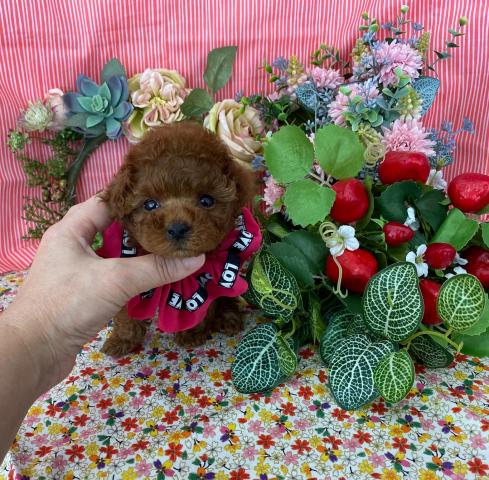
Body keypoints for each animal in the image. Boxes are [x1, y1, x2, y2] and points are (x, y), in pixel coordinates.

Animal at [99, 122, 257, 357]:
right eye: (150, 204)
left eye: (206, 201)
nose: (177, 228)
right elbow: (126, 313)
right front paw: (121, 340)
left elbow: (201, 307)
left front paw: (190, 334)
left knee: (226, 298)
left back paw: (229, 319)